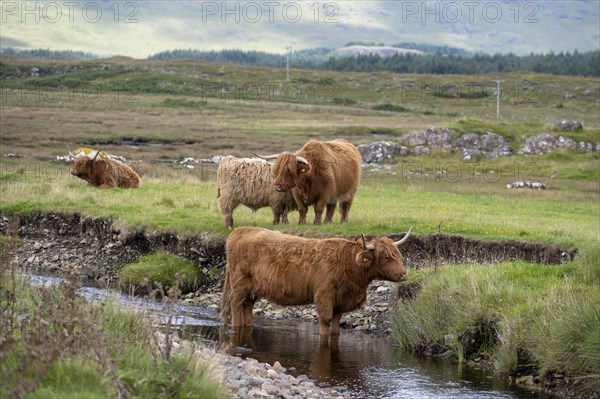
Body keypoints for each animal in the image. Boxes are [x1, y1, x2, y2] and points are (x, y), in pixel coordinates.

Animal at [220, 227, 412, 336]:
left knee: (247, 307)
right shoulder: (324, 296)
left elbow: (335, 325)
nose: (403, 274)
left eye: (398, 255)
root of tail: (239, 231)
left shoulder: (340, 302)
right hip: (239, 285)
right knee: (235, 305)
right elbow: (325, 322)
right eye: (386, 257)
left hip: (253, 290)